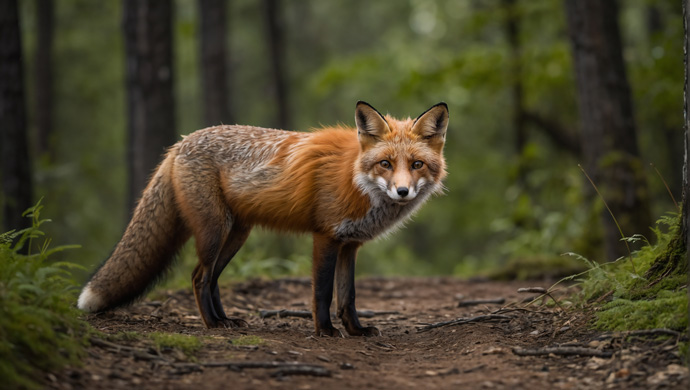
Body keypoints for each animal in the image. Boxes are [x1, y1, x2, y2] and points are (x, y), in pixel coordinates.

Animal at [78, 102, 448, 336]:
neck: (355, 179)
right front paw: (325, 331)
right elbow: (323, 293)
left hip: (236, 235)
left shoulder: (350, 244)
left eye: (416, 165)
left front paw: (356, 330)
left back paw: (226, 320)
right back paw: (212, 325)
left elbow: (349, 297)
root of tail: (180, 143)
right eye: (385, 163)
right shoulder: (325, 237)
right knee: (198, 277)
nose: (402, 191)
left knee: (212, 280)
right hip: (214, 231)